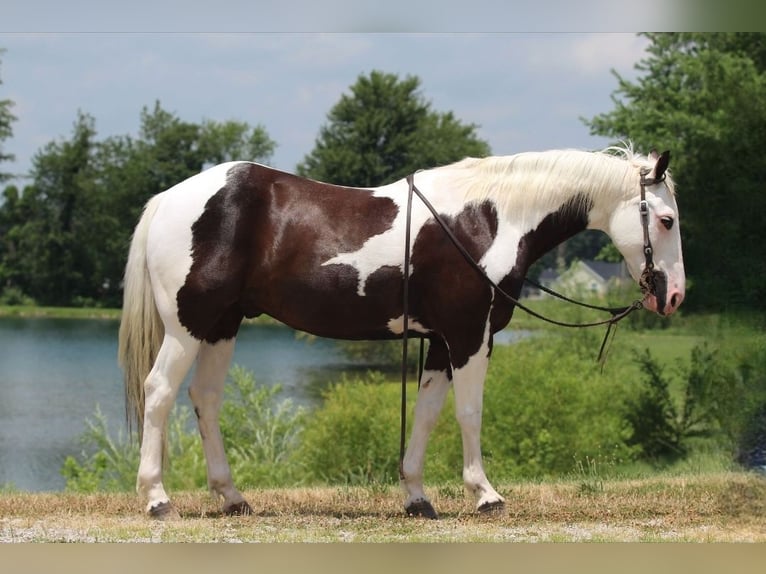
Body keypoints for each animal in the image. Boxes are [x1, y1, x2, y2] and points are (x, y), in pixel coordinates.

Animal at [118, 145, 685, 519]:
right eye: (667, 219)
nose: (674, 295)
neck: (486, 218)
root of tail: (168, 199)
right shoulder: (470, 336)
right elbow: (470, 411)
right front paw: (486, 494)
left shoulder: (438, 341)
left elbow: (429, 413)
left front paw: (417, 497)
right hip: (187, 326)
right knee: (160, 392)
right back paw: (158, 499)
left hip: (222, 325)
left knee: (205, 398)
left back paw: (233, 498)